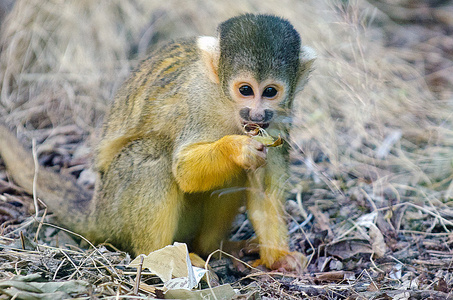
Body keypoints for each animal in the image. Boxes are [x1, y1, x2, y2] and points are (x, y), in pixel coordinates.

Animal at [0, 14, 314, 270]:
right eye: (245, 90)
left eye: (270, 92)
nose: (257, 114)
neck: (228, 105)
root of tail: (95, 213)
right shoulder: (198, 103)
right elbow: (184, 171)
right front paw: (237, 149)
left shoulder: (279, 122)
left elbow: (264, 191)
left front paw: (278, 257)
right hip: (114, 209)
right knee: (154, 154)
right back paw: (158, 253)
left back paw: (215, 248)